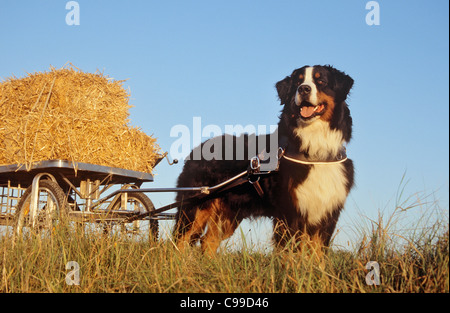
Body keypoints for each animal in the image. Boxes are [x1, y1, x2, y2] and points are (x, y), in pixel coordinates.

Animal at [173, 64, 356, 254]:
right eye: (297, 82)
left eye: (321, 81)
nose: (303, 89)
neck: (315, 152)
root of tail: (199, 147)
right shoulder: (289, 212)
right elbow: (289, 252)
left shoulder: (327, 213)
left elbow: (318, 254)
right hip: (195, 207)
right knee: (180, 241)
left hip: (229, 213)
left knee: (208, 241)